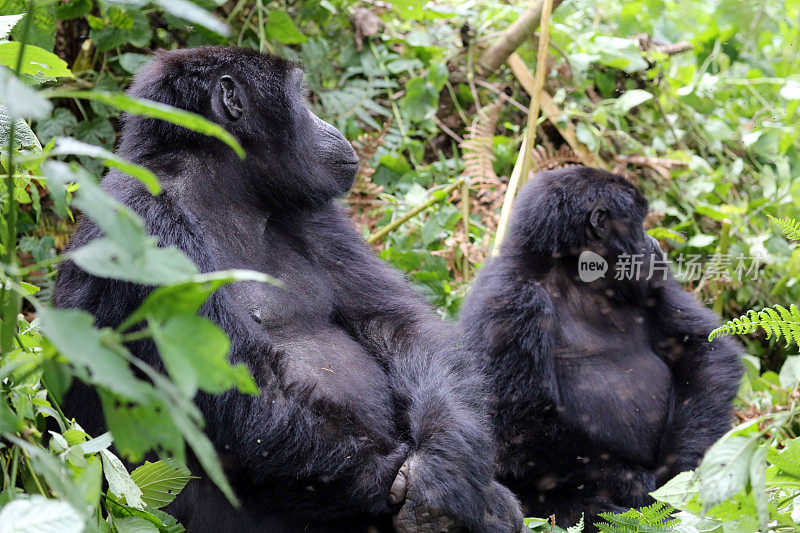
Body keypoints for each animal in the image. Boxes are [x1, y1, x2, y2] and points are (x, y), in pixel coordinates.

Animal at [53, 45, 520, 532]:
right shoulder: (141, 223)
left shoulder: (312, 207)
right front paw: (409, 483)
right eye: (300, 96)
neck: (220, 187)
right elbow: (242, 394)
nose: (328, 125)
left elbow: (396, 324)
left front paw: (448, 465)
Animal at [460, 166, 740, 528]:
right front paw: (638, 485)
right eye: (639, 223)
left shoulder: (653, 283)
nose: (654, 245)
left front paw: (684, 469)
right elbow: (517, 427)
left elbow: (703, 348)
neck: (572, 272)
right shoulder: (511, 297)